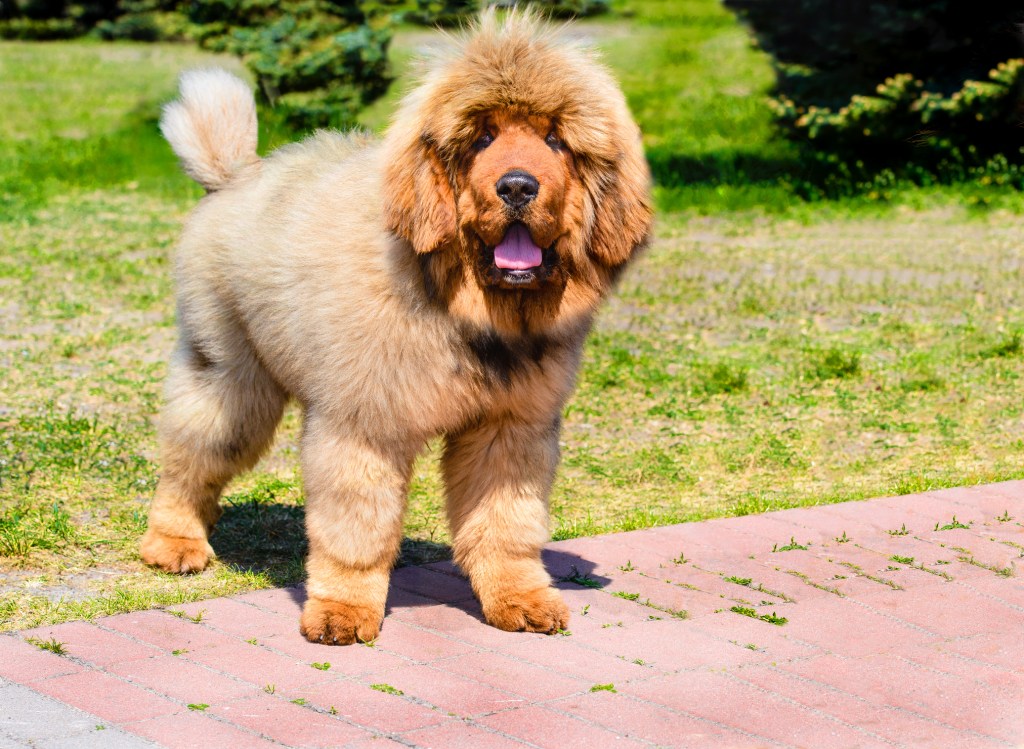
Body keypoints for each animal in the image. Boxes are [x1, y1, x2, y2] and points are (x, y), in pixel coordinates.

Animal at [140, 10, 651, 643]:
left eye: (555, 139)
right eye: (482, 138)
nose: (516, 186)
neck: (461, 308)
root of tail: (236, 176)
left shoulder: (510, 426)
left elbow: (506, 526)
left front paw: (520, 598)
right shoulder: (365, 424)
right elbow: (356, 532)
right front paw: (342, 611)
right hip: (231, 379)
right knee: (189, 455)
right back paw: (174, 542)